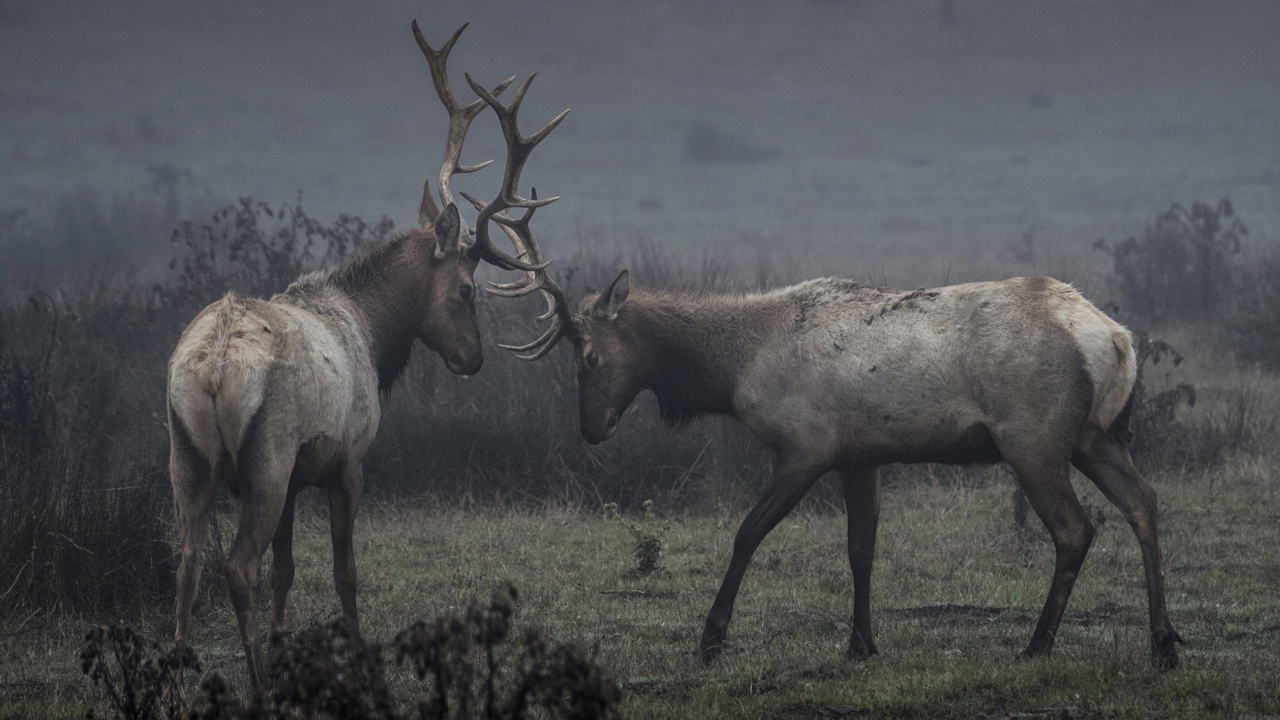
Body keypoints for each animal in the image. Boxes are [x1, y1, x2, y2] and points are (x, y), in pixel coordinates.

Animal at [165, 21, 567, 690]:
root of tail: (215, 367)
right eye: (467, 289)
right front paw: (358, 658)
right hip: (265, 459)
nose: (474, 359)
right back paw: (257, 681)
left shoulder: (298, 480)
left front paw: (286, 647)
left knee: (188, 562)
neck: (377, 339)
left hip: (186, 456)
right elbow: (344, 571)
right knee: (237, 565)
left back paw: (172, 674)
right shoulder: (348, 458)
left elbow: (287, 569)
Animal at [485, 227, 1182, 668]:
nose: (591, 429)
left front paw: (711, 641)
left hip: (1034, 439)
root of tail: (1117, 339)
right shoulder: (860, 456)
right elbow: (861, 548)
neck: (735, 370)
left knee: (1075, 529)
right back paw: (1163, 643)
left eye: (589, 357)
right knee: (1144, 503)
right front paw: (861, 645)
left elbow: (747, 533)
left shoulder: (804, 447)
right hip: (1097, 436)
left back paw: (1038, 644)